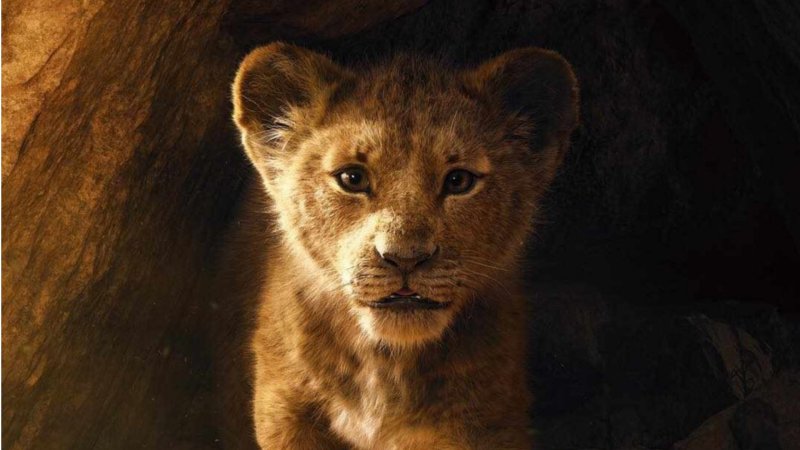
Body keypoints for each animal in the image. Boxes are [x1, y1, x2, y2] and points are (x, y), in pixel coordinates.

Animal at [231, 42, 579, 449]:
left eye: (459, 181)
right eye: (352, 178)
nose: (405, 258)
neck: (384, 365)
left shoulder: (486, 421)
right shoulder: (285, 410)